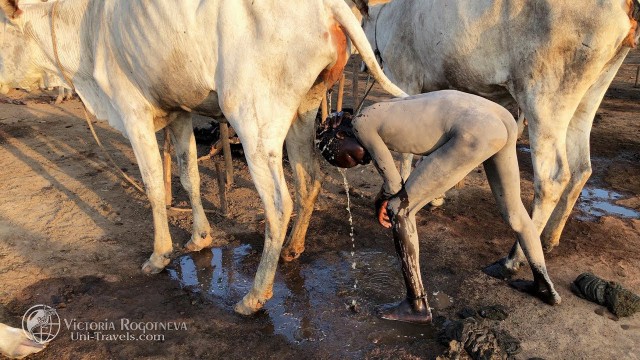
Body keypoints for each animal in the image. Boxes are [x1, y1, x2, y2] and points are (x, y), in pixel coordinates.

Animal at [0, 0, 408, 316]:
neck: (83, 29)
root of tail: (330, 6)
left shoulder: (133, 113)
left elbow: (153, 187)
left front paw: (159, 255)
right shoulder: (179, 113)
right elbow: (188, 177)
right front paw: (199, 237)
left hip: (253, 119)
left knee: (279, 204)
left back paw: (255, 296)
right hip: (305, 107)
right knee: (310, 179)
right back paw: (293, 249)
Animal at [350, 0, 640, 276]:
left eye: (361, 24)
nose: (362, 65)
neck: (387, 15)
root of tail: (624, 6)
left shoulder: (408, 82)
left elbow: (406, 155)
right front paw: (437, 197)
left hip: (544, 100)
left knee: (552, 180)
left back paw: (514, 259)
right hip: (589, 97)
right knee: (582, 169)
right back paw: (549, 238)